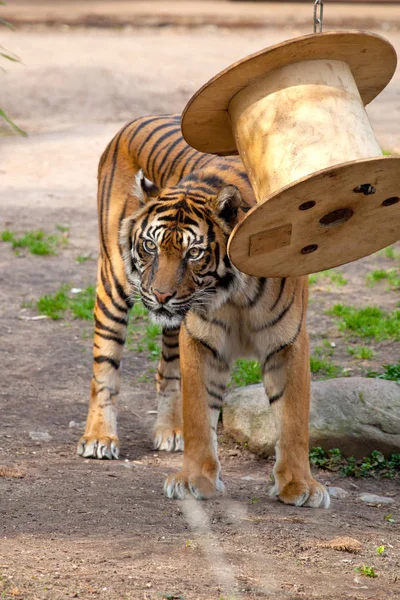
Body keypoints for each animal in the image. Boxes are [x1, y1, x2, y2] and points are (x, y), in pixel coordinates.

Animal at [76, 111, 330, 506]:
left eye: (193, 253)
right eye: (150, 246)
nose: (161, 295)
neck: (236, 294)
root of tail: (136, 119)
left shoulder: (287, 341)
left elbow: (293, 419)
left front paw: (299, 485)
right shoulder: (201, 339)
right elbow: (198, 413)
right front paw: (194, 480)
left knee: (165, 371)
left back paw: (169, 431)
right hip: (113, 284)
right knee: (105, 366)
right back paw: (100, 438)